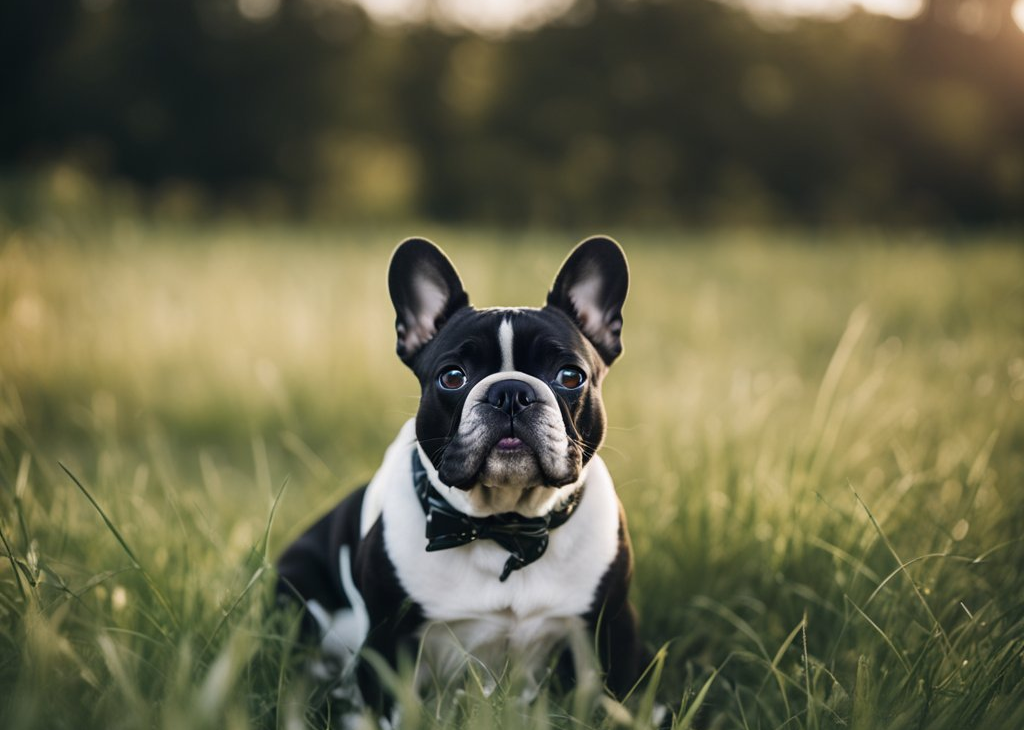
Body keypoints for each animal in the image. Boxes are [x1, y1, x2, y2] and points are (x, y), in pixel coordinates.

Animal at [278, 236, 647, 716]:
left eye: (571, 376)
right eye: (452, 377)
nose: (511, 392)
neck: (506, 528)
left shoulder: (611, 628)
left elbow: (615, 702)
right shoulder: (387, 640)